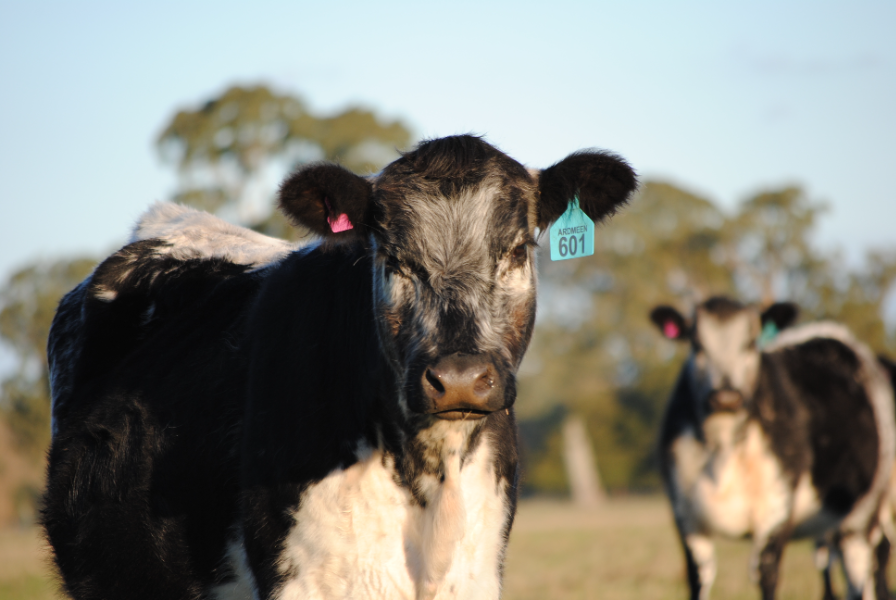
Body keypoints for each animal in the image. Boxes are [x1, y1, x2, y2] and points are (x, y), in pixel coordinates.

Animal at [652, 298, 896, 596]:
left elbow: (766, 575)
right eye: (697, 344)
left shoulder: (776, 512)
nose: (726, 397)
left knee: (865, 569)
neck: (722, 448)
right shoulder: (686, 517)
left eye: (750, 343)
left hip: (863, 516)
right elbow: (698, 578)